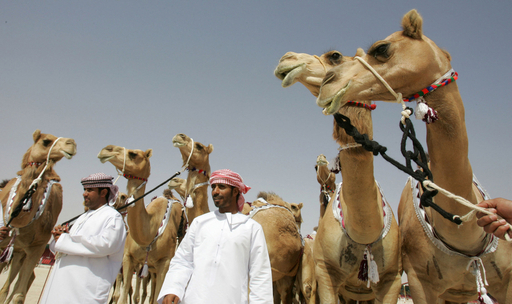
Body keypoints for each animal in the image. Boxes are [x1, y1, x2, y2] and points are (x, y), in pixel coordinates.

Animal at [274, 50, 402, 302]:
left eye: (334, 56)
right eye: (315, 169)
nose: (287, 58)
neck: (364, 232)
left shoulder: (392, 279)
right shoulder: (326, 275)